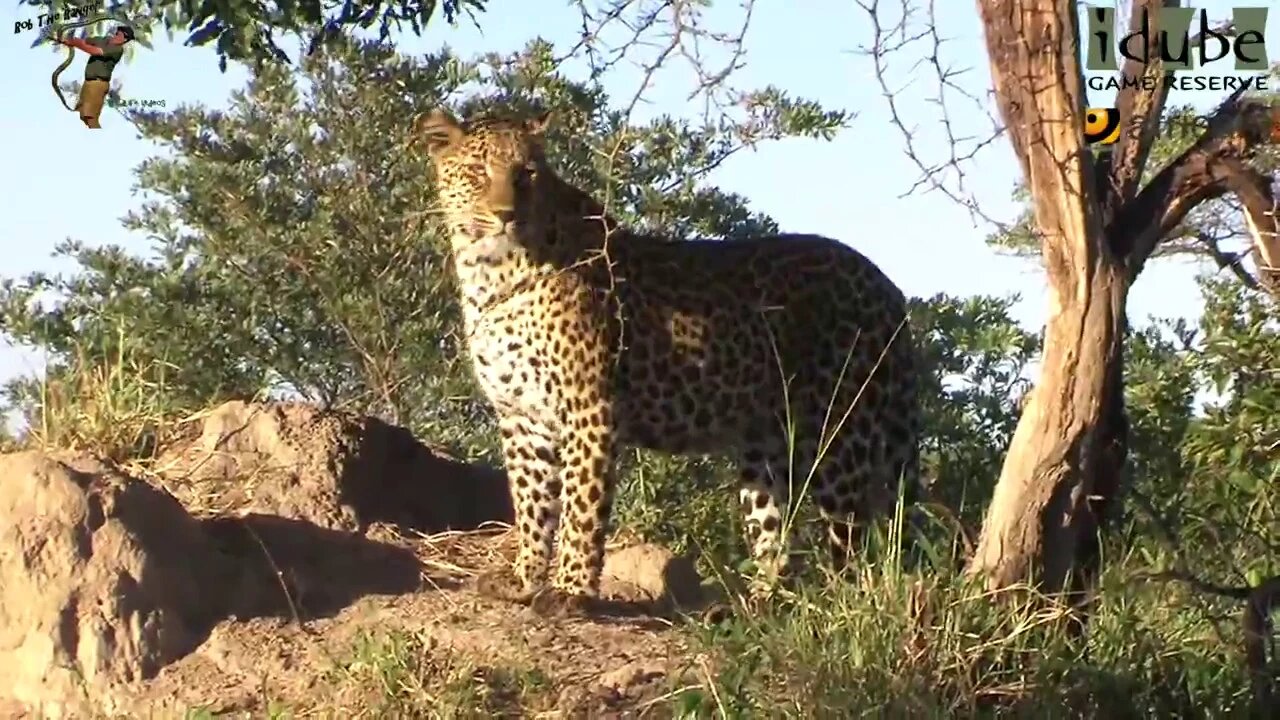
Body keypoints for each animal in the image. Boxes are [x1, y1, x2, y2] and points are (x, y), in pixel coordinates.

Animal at [414, 106, 926, 609]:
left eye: (527, 174)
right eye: (478, 172)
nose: (505, 215)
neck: (489, 271)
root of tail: (887, 288)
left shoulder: (590, 408)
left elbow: (581, 508)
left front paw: (571, 589)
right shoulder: (521, 416)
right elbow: (531, 504)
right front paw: (525, 578)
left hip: (838, 436)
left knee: (855, 542)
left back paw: (840, 604)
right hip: (765, 447)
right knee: (777, 538)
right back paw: (757, 606)